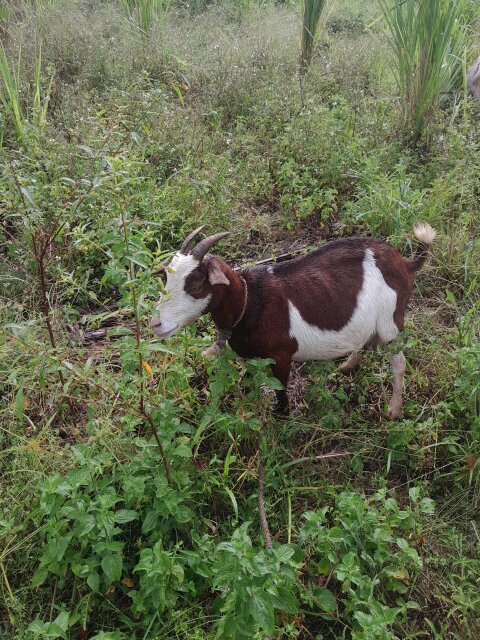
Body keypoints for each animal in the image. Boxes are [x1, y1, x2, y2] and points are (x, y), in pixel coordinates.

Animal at [151, 223, 436, 417]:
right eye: (166, 277)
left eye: (195, 285)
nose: (156, 324)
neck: (250, 302)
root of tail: (405, 263)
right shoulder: (253, 357)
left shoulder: (281, 355)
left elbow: (280, 392)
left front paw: (281, 419)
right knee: (367, 341)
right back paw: (347, 367)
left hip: (391, 320)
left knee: (398, 361)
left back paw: (394, 410)